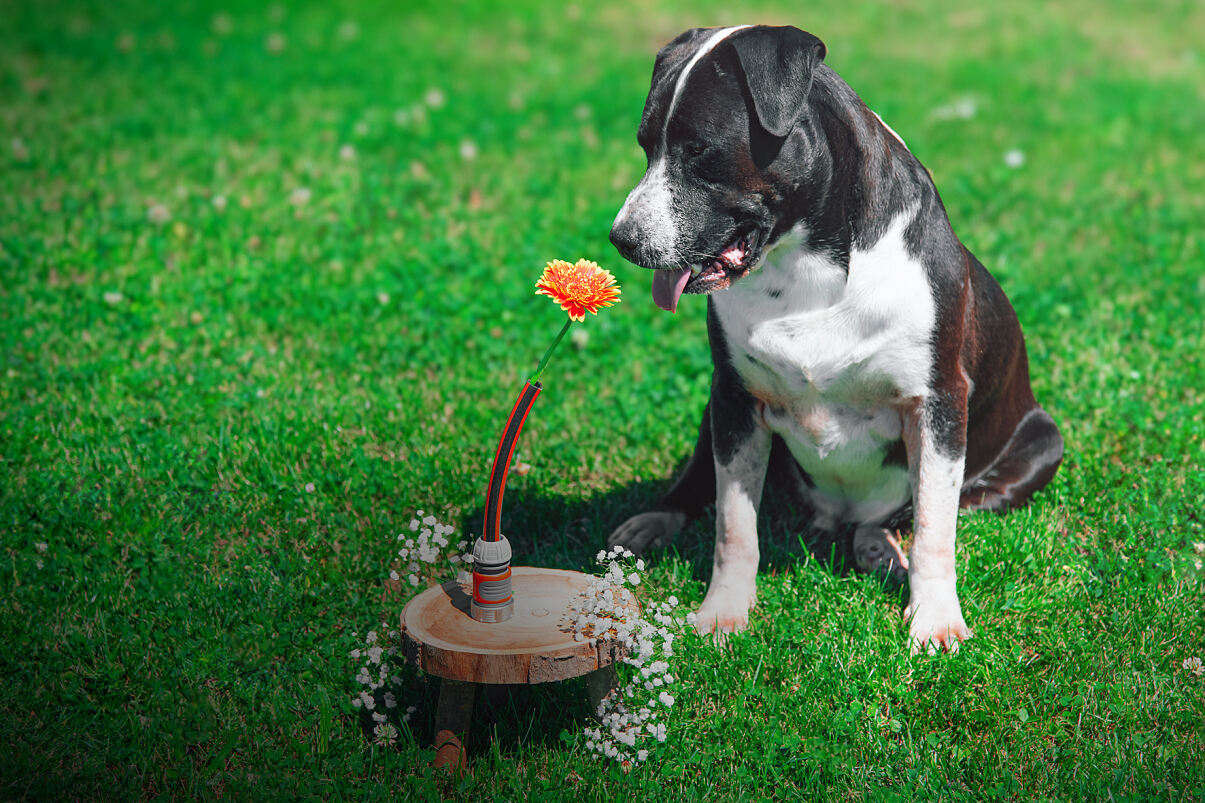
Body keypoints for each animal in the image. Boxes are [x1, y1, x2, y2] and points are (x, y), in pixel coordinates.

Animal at [607, 25, 1060, 651]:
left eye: (699, 151)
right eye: (645, 146)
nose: (622, 238)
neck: (806, 267)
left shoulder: (940, 402)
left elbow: (935, 526)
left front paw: (936, 620)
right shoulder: (735, 397)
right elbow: (733, 524)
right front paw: (723, 612)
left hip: (1044, 441)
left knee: (915, 512)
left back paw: (878, 545)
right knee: (701, 479)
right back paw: (656, 519)